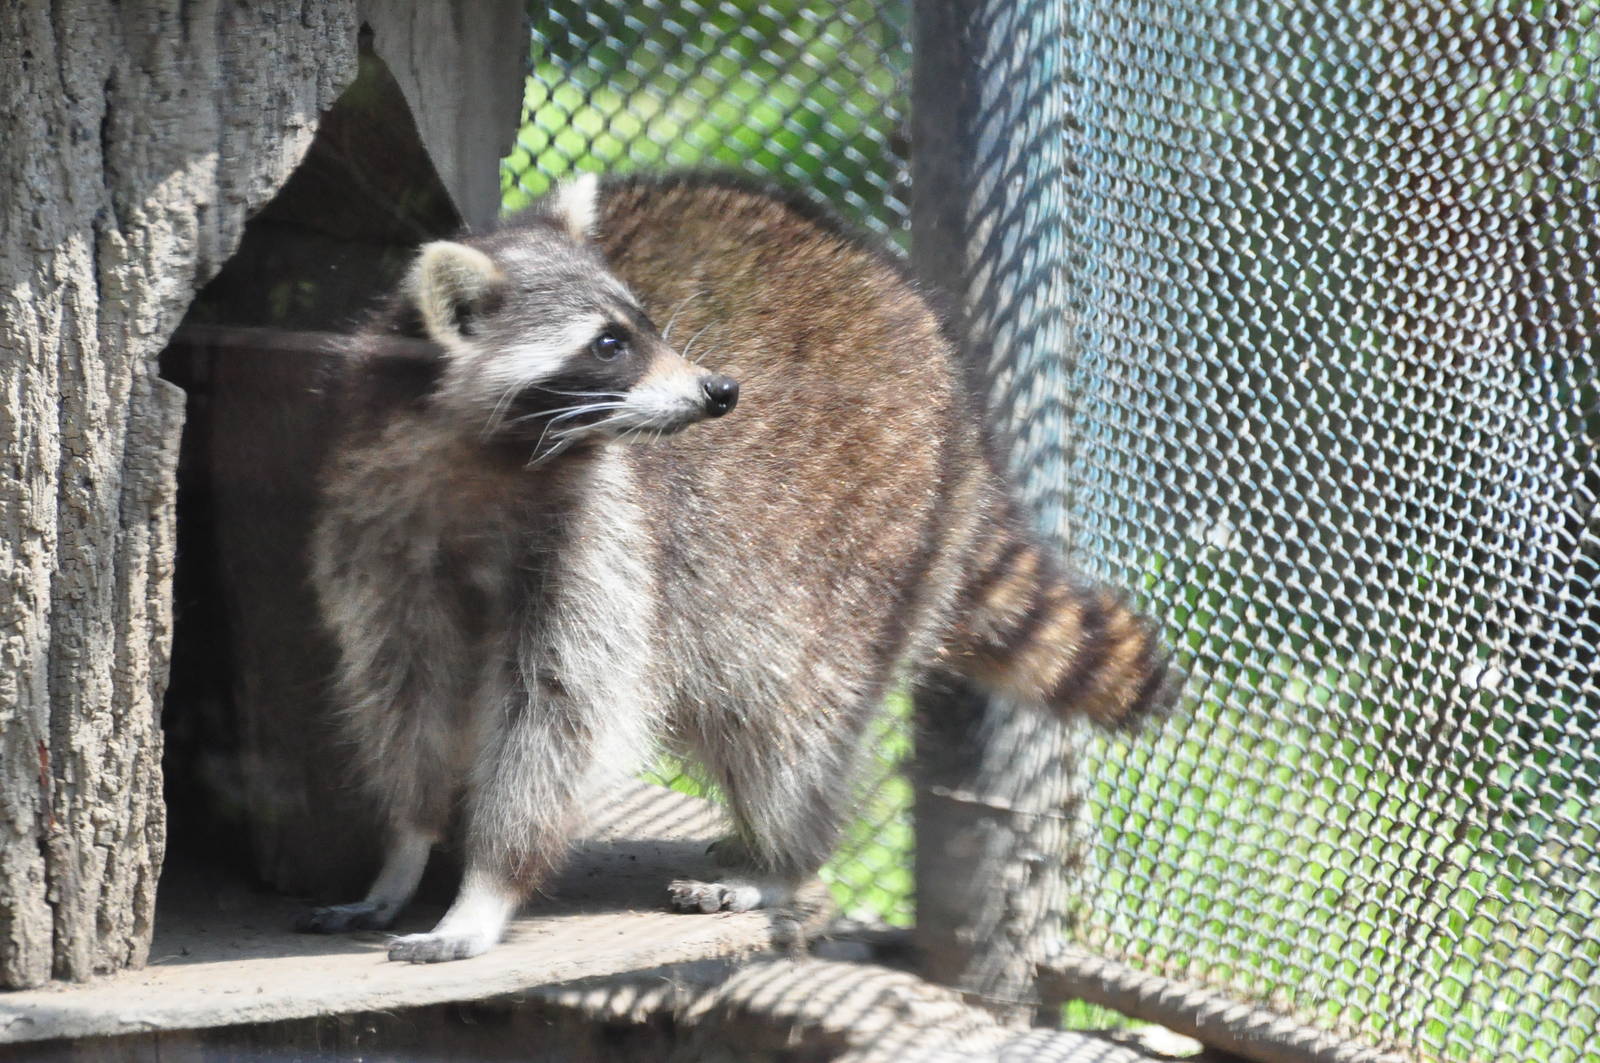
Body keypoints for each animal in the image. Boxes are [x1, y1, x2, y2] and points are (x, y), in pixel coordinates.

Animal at [300, 172, 1173, 963]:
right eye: (609, 344)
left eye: (648, 324)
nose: (719, 389)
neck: (485, 456)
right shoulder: (377, 518)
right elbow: (405, 689)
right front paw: (408, 841)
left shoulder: (603, 531)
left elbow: (559, 711)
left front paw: (487, 884)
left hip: (873, 531)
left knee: (786, 717)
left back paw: (786, 859)